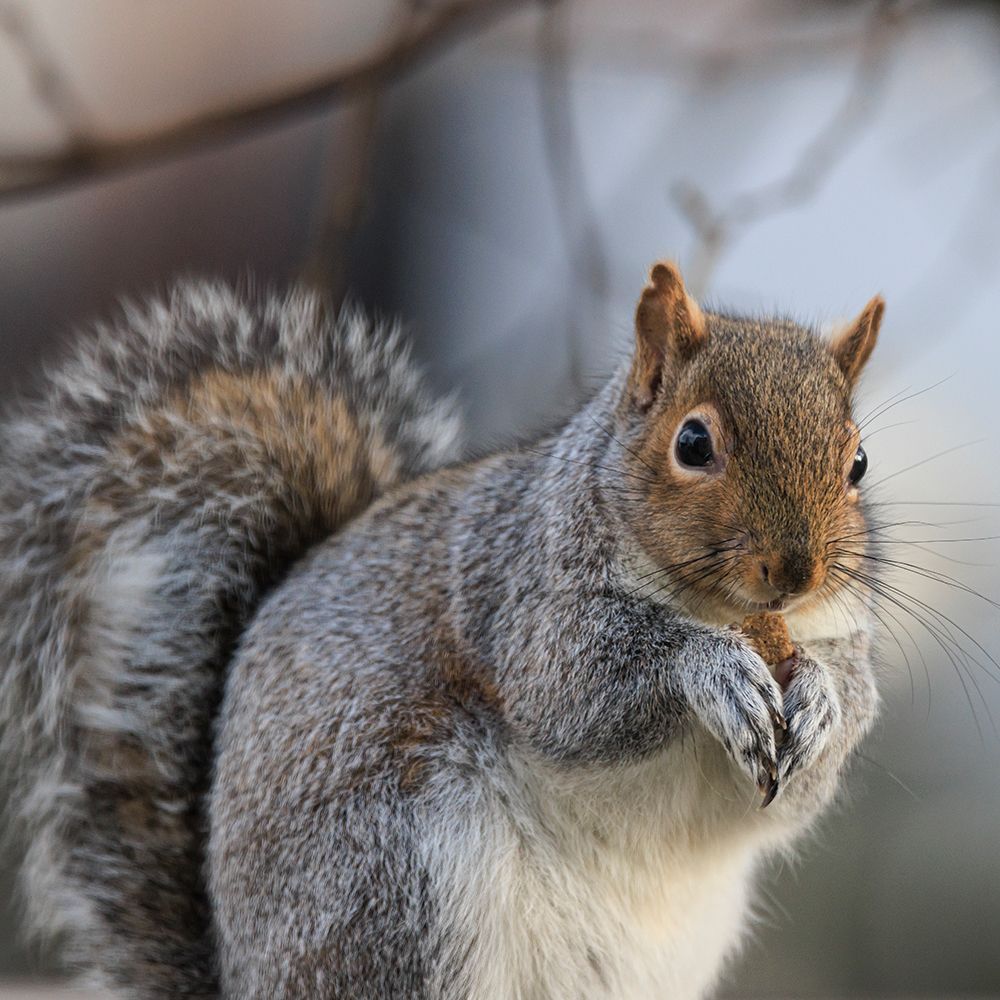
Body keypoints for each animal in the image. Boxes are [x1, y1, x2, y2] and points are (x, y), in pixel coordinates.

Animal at [0, 263, 884, 999]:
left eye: (859, 463)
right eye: (692, 442)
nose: (795, 569)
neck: (726, 611)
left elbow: (806, 780)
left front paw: (823, 701)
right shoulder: (522, 597)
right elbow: (576, 696)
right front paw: (712, 670)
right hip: (394, 882)